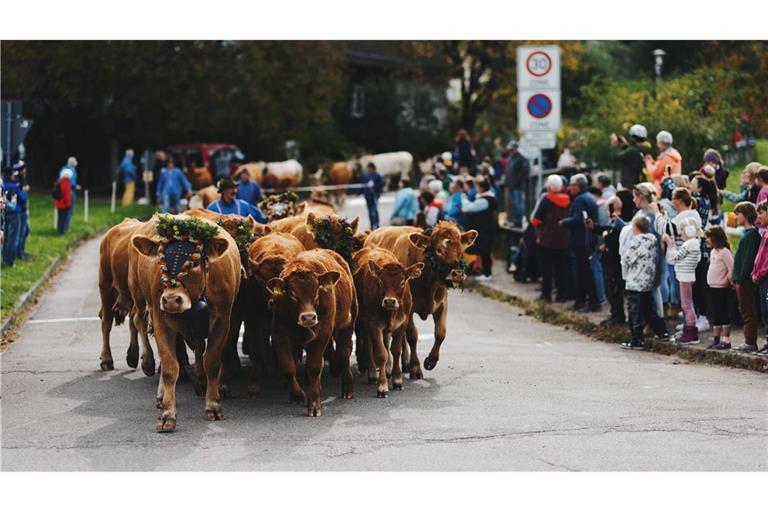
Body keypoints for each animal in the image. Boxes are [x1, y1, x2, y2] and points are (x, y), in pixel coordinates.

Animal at [246, 231, 306, 396]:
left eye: (285, 283)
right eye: (262, 281)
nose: (274, 302)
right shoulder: (253, 319)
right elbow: (256, 351)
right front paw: (254, 384)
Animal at [268, 249, 356, 416]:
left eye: (317, 291)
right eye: (291, 293)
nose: (308, 317)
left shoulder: (324, 331)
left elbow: (314, 366)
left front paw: (314, 404)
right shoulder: (279, 332)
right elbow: (288, 367)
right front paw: (297, 395)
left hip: (348, 322)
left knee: (344, 352)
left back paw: (348, 388)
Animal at [352, 247, 424, 396]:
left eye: (402, 282)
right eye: (380, 282)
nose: (389, 301)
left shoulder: (403, 323)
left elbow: (395, 350)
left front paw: (397, 379)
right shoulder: (373, 324)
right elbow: (381, 354)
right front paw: (382, 386)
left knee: (386, 342)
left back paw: (388, 369)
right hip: (364, 322)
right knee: (368, 344)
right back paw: (373, 373)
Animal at [362, 224, 474, 380]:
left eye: (460, 250)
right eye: (439, 250)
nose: (457, 274)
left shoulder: (442, 305)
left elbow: (441, 333)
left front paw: (431, 361)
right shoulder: (408, 310)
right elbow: (413, 336)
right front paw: (415, 367)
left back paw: (404, 363)